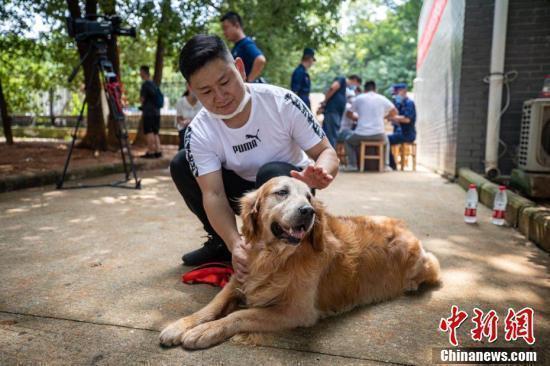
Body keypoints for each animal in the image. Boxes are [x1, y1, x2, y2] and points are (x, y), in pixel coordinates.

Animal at [158, 177, 440, 348]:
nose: (308, 211)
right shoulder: (240, 278)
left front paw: (205, 331)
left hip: (427, 264)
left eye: (309, 197)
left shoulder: (295, 311)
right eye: (281, 193)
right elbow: (212, 305)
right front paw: (181, 325)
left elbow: (239, 314)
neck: (275, 258)